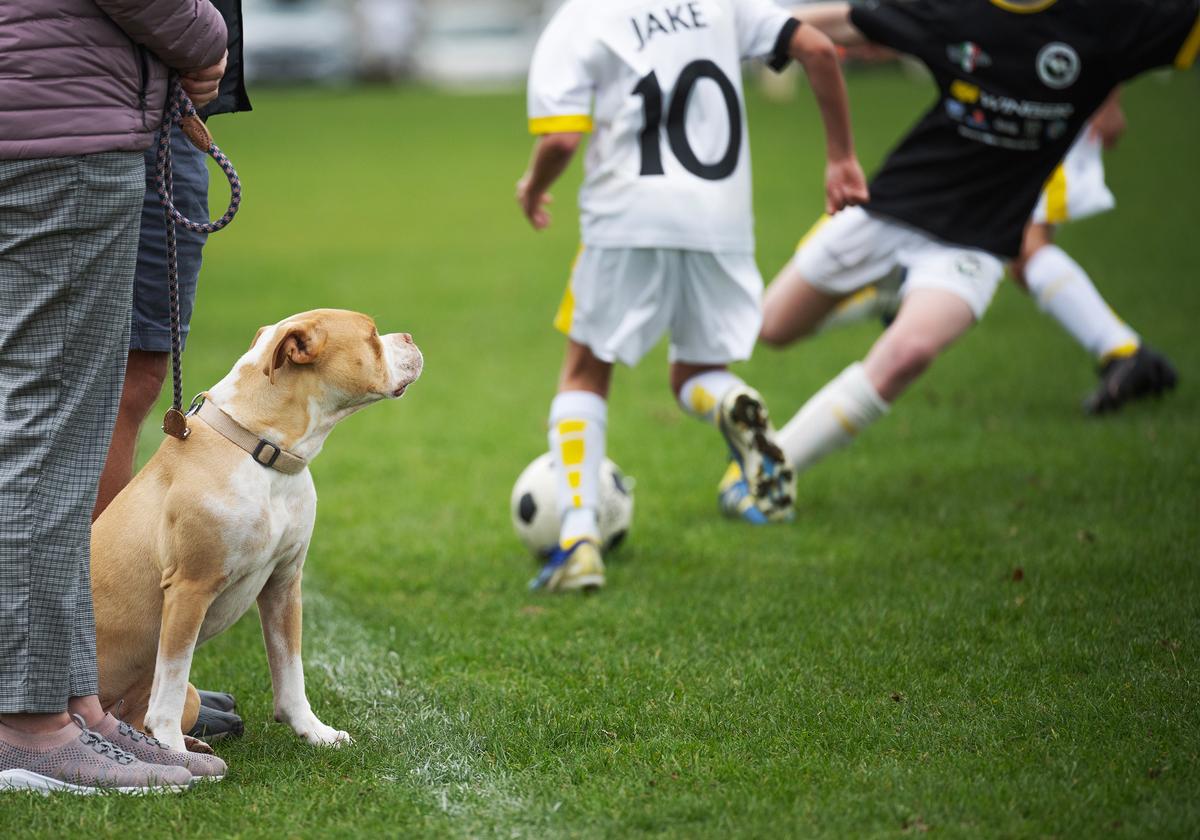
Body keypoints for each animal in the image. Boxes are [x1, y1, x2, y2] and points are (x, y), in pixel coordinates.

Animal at [88, 307, 420, 748]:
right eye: (370, 336)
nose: (411, 336)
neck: (264, 451)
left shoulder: (284, 581)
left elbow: (290, 669)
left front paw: (314, 731)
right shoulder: (189, 588)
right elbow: (170, 684)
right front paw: (172, 750)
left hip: (180, 696)